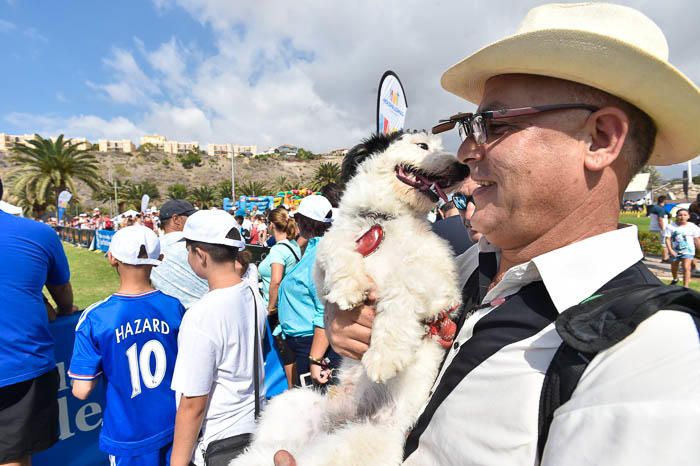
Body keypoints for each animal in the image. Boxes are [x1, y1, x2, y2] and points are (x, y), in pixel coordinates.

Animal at [232, 131, 468, 466]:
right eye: (422, 146)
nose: (464, 168)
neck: (385, 219)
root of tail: (342, 419)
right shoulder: (324, 268)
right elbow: (334, 247)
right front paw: (349, 288)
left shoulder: (440, 286)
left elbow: (402, 288)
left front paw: (384, 356)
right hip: (293, 405)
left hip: (352, 447)